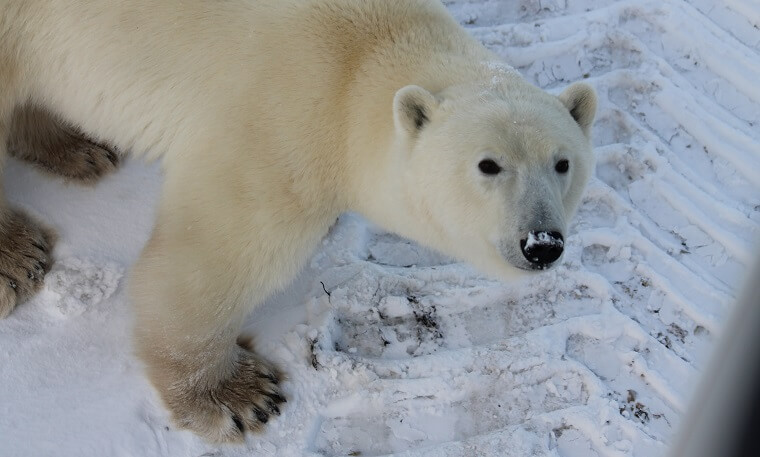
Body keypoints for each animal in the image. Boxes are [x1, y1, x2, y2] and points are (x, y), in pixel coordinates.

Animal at [0, 0, 596, 442]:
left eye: (563, 162)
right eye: (488, 164)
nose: (542, 243)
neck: (360, 61)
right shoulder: (283, 123)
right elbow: (212, 257)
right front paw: (241, 397)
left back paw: (77, 149)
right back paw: (19, 256)